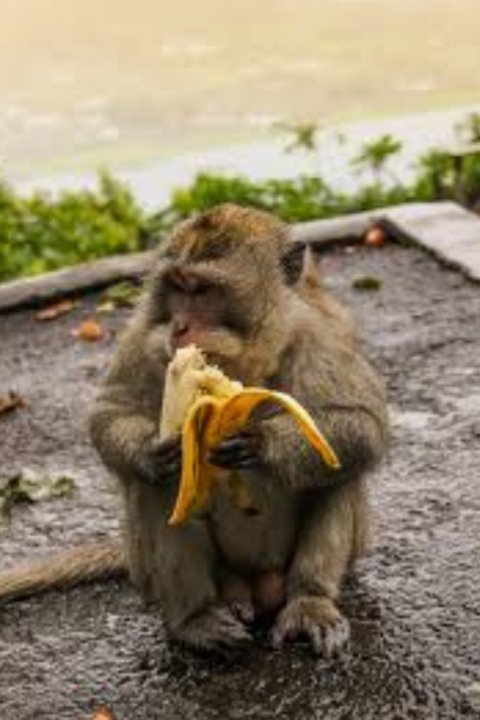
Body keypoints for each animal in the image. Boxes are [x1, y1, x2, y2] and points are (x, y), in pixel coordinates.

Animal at [0, 203, 388, 656]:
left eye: (203, 291)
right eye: (178, 288)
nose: (180, 327)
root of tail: (252, 586)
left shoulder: (324, 332)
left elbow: (363, 424)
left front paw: (262, 444)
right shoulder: (143, 334)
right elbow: (111, 412)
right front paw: (151, 453)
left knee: (338, 471)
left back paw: (309, 601)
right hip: (169, 571)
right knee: (160, 486)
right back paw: (194, 617)